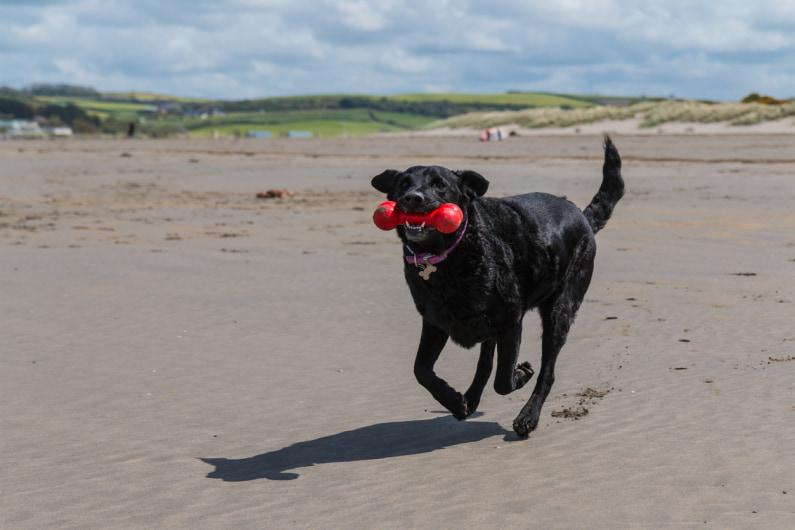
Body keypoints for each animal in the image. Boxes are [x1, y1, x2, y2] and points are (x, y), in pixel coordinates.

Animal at [370, 135, 624, 434]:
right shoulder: (435, 321)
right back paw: (470, 399)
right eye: (403, 184)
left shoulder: (510, 322)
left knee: (546, 372)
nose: (413, 198)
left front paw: (521, 374)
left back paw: (528, 416)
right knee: (485, 362)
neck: (449, 257)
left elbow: (504, 380)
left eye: (439, 184)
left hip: (560, 311)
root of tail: (582, 216)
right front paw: (454, 400)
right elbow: (421, 369)